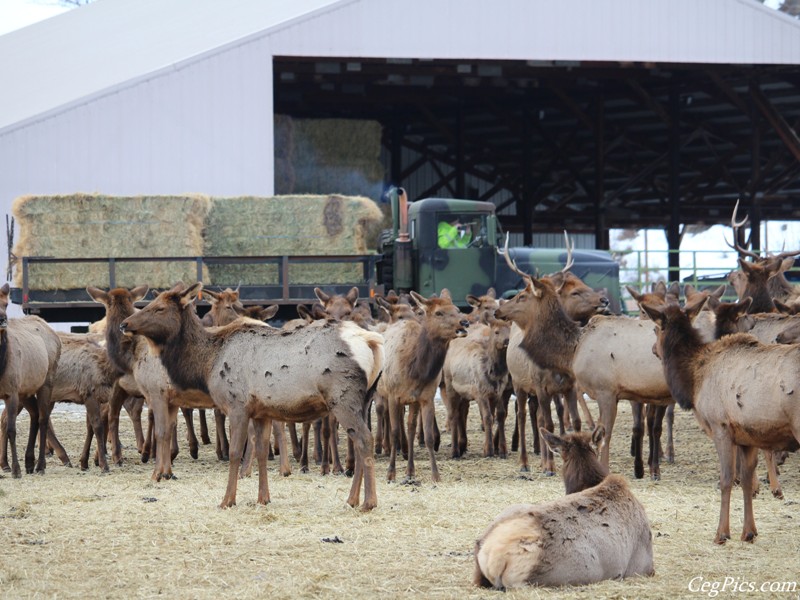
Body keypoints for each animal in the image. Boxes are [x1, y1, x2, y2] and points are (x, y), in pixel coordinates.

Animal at [0, 282, 61, 478]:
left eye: (6, 304)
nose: (3, 320)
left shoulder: (11, 392)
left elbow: (11, 429)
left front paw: (15, 470)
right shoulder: (16, 391)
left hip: (46, 382)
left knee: (43, 418)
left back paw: (40, 465)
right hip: (26, 390)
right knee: (34, 415)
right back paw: (29, 461)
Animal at [119, 284, 382, 508]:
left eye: (159, 308)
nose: (124, 323)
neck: (207, 363)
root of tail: (372, 341)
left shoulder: (237, 405)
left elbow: (236, 452)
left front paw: (227, 500)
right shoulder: (261, 412)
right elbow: (263, 452)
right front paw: (263, 498)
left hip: (343, 397)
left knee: (365, 439)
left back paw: (368, 502)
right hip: (364, 399)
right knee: (360, 440)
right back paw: (352, 500)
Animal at [376, 290, 468, 482]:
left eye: (456, 309)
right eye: (438, 312)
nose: (464, 322)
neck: (415, 371)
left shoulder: (426, 397)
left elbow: (428, 436)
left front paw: (435, 474)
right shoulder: (393, 395)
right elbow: (395, 432)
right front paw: (390, 473)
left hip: (412, 402)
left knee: (411, 427)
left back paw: (410, 470)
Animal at [644, 296, 800, 544]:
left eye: (655, 328)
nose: (653, 350)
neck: (694, 380)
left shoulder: (721, 428)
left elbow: (726, 480)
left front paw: (722, 533)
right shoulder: (747, 436)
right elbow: (746, 481)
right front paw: (749, 532)